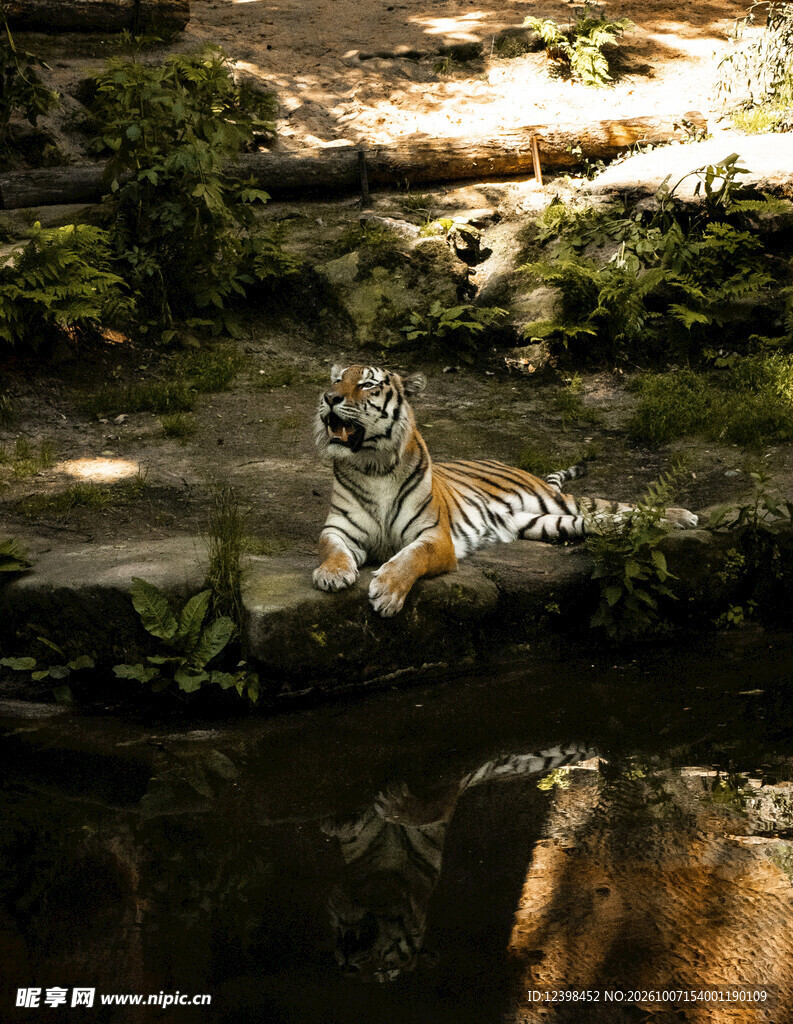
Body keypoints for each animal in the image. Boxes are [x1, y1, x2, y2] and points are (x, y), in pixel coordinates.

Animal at [314, 364, 698, 616]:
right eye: (336, 379)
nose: (329, 398)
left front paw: (387, 592)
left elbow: (411, 558)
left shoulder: (435, 537)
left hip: (558, 501)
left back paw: (682, 516)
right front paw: (332, 574)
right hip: (546, 523)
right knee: (608, 520)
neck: (373, 464)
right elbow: (331, 548)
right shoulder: (339, 528)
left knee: (614, 506)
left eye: (366, 384)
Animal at [323, 743, 598, 983]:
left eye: (384, 968)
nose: (347, 967)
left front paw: (395, 804)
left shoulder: (449, 793)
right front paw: (337, 822)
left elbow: (435, 806)